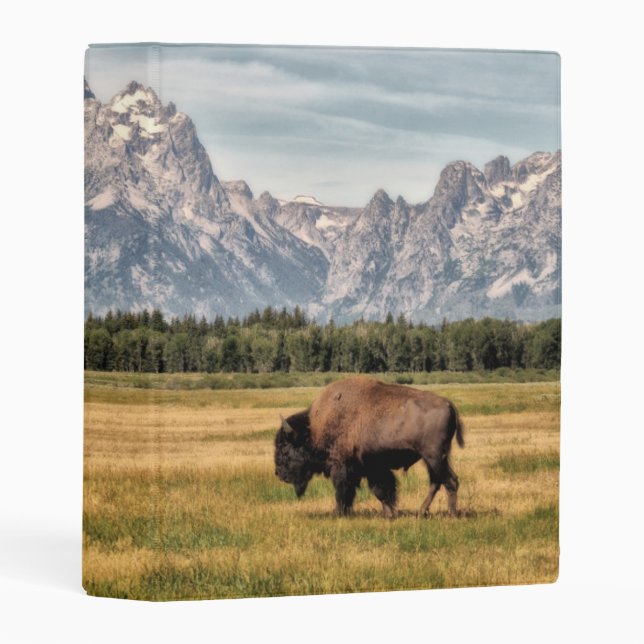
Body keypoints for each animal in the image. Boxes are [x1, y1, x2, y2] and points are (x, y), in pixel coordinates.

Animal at [274, 377, 464, 518]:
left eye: (285, 449)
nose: (279, 473)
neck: (313, 428)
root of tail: (448, 404)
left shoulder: (343, 466)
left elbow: (346, 490)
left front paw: (339, 513)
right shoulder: (373, 468)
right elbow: (382, 491)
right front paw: (390, 514)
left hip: (434, 457)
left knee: (450, 481)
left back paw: (451, 515)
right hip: (432, 459)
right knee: (437, 482)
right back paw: (421, 512)